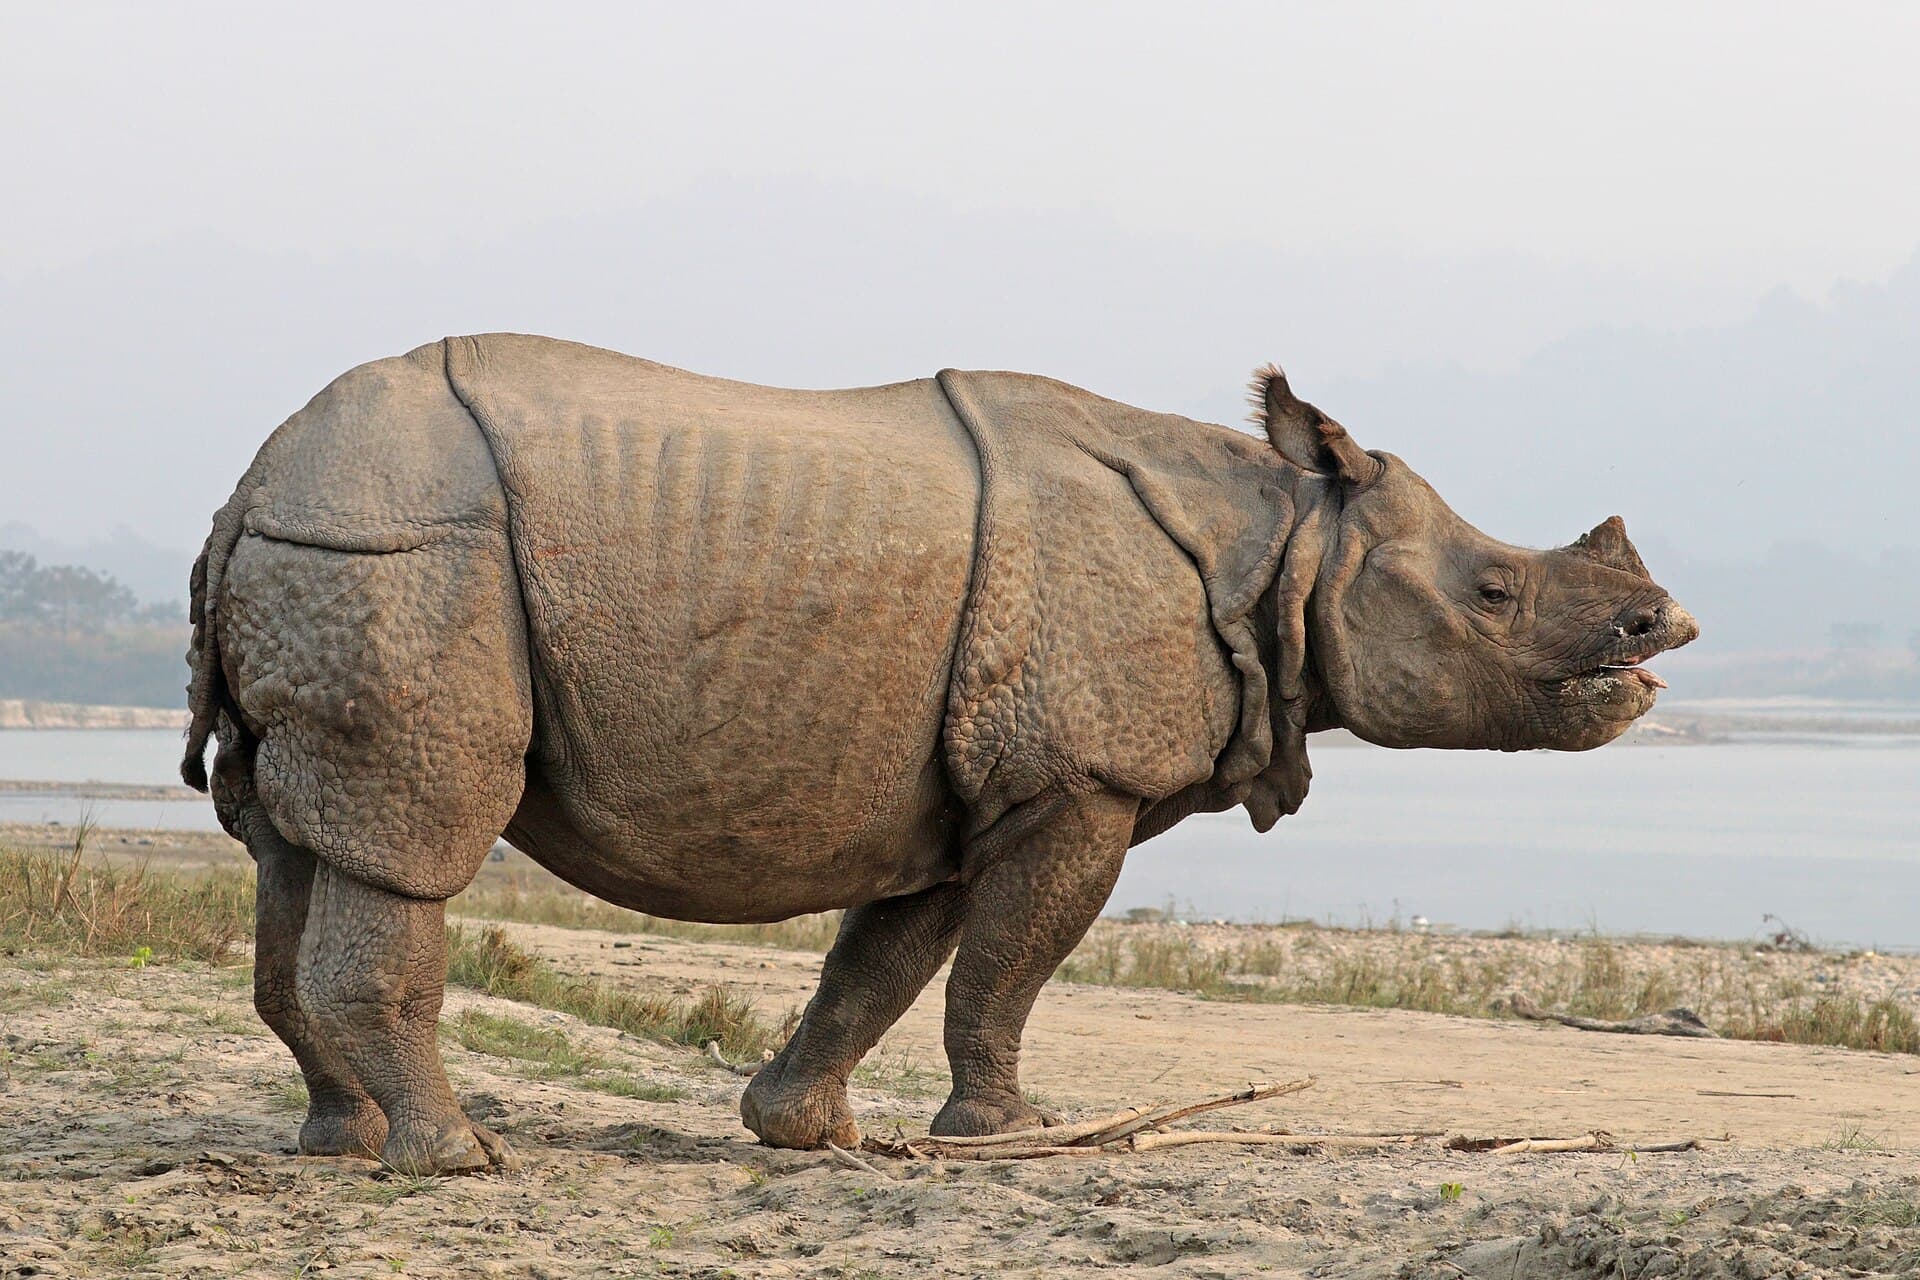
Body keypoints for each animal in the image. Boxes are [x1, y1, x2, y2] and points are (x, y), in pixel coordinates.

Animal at [182, 334, 1697, 1173]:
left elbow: (891, 959)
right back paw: (459, 1161)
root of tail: (251, 480)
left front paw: (806, 1132)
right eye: (1495, 591)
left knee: (294, 848)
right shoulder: (1082, 778)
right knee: (412, 842)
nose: (1661, 628)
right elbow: (1013, 961)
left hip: (331, 553)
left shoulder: (964, 787)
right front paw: (1014, 1139)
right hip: (403, 552)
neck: (1287, 541)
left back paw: (343, 1146)